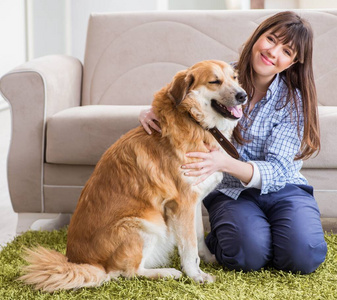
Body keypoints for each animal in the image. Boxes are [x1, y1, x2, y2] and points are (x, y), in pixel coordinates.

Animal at [18, 59, 245, 292]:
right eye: (214, 81)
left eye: (234, 77)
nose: (243, 96)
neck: (194, 121)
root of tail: (85, 262)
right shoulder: (182, 204)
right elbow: (188, 247)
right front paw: (196, 275)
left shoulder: (193, 202)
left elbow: (197, 237)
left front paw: (208, 259)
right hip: (145, 224)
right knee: (127, 272)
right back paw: (167, 273)